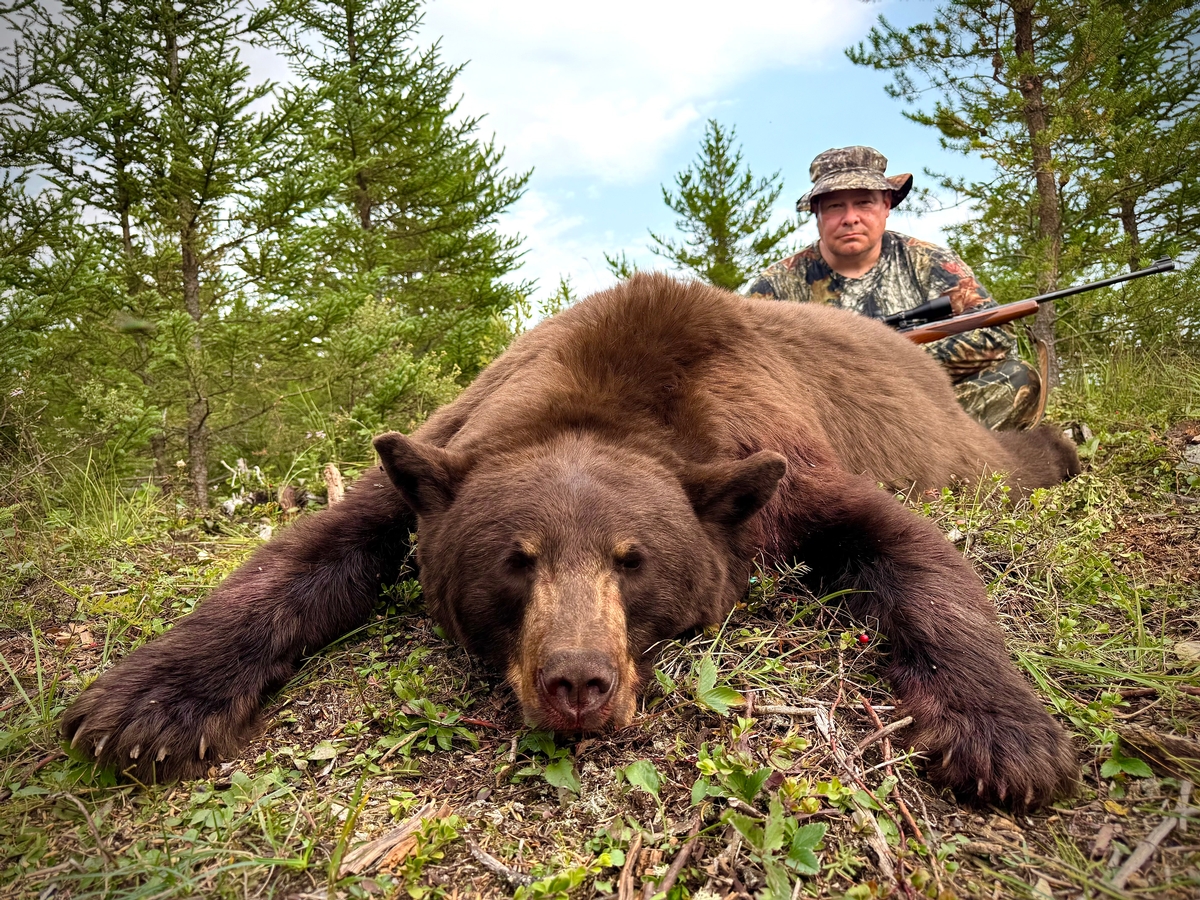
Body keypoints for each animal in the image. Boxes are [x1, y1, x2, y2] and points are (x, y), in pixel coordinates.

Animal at [62, 273, 1081, 810]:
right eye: (516, 561)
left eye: (635, 563)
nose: (579, 684)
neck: (608, 390)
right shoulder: (449, 444)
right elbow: (311, 550)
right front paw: (148, 703)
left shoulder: (776, 456)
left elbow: (911, 549)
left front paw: (1000, 736)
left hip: (950, 438)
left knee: (998, 461)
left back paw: (1057, 444)